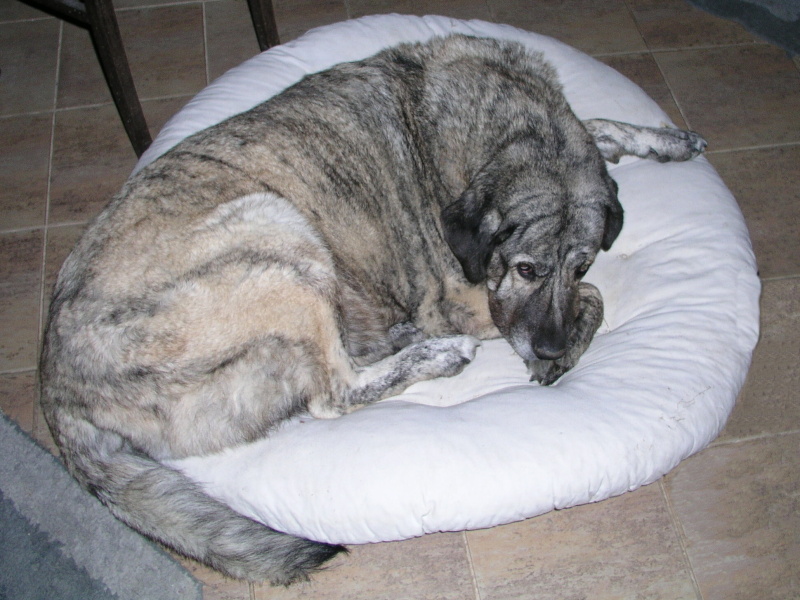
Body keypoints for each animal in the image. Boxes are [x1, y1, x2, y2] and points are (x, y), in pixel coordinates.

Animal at [40, 34, 706, 584]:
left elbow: (601, 130)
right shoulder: (460, 300)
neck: (504, 129)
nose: (546, 347)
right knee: (332, 393)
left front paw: (669, 140)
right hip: (276, 232)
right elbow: (593, 300)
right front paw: (560, 353)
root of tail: (58, 388)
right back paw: (435, 354)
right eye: (525, 270)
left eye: (582, 262)